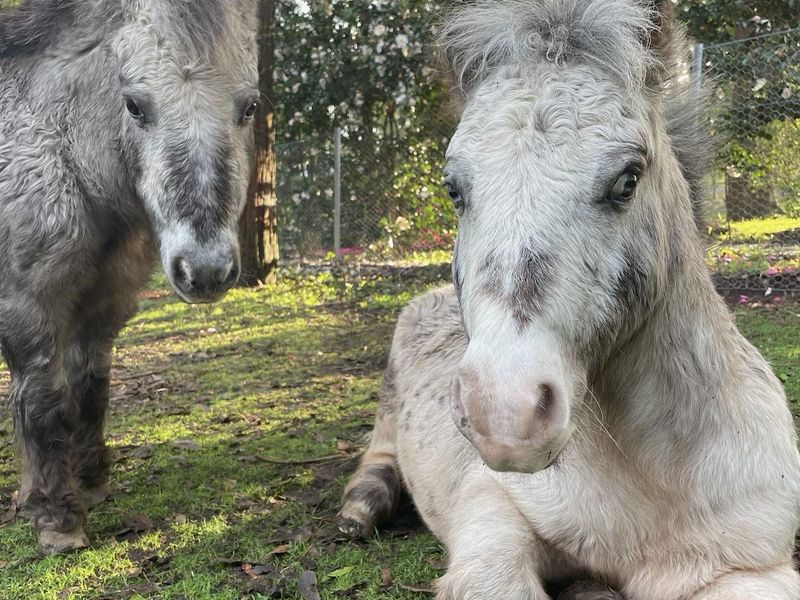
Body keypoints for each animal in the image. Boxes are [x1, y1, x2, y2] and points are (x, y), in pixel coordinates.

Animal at [0, 0, 258, 554]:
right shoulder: (27, 306)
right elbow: (45, 401)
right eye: (136, 106)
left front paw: (91, 480)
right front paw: (57, 518)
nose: (206, 270)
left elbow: (90, 386)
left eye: (249, 106)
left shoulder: (104, 301)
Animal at [338, 1, 800, 598]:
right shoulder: (490, 510)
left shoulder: (752, 565)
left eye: (628, 179)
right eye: (453, 189)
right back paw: (359, 509)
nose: (503, 412)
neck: (651, 485)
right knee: (378, 454)